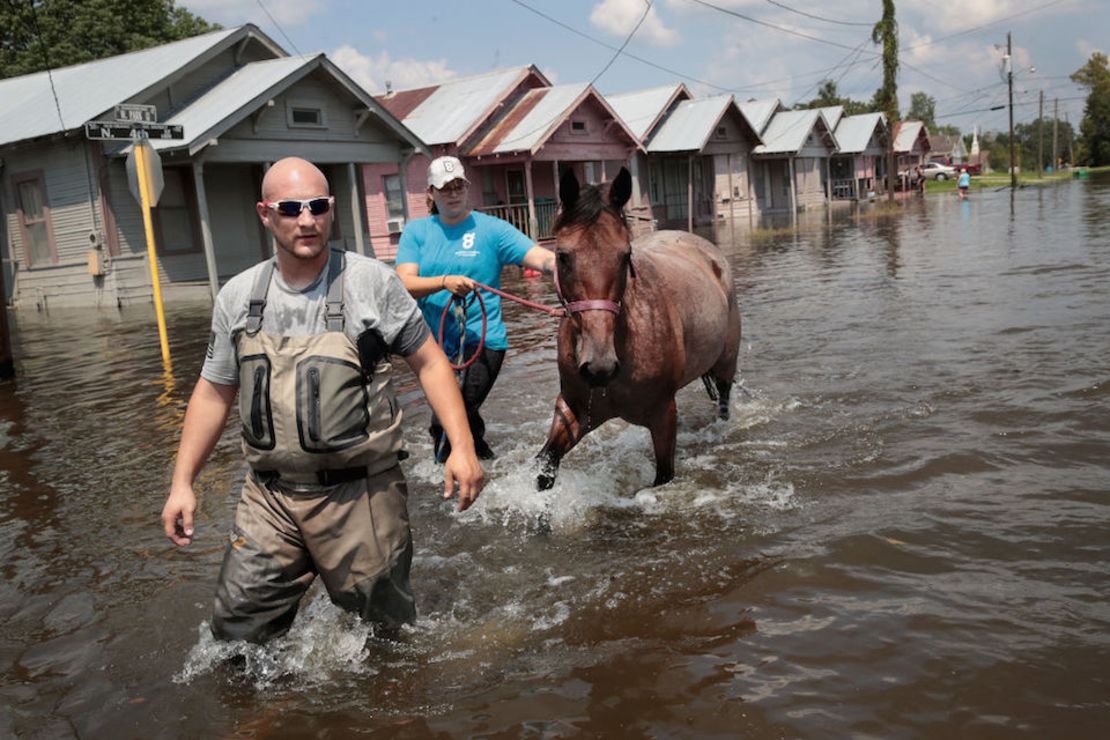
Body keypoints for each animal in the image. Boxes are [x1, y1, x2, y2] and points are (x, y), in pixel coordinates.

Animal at [535, 167, 741, 492]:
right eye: (563, 256)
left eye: (625, 255)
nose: (599, 367)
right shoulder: (575, 409)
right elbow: (546, 465)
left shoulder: (663, 415)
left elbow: (663, 476)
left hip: (725, 365)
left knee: (722, 402)